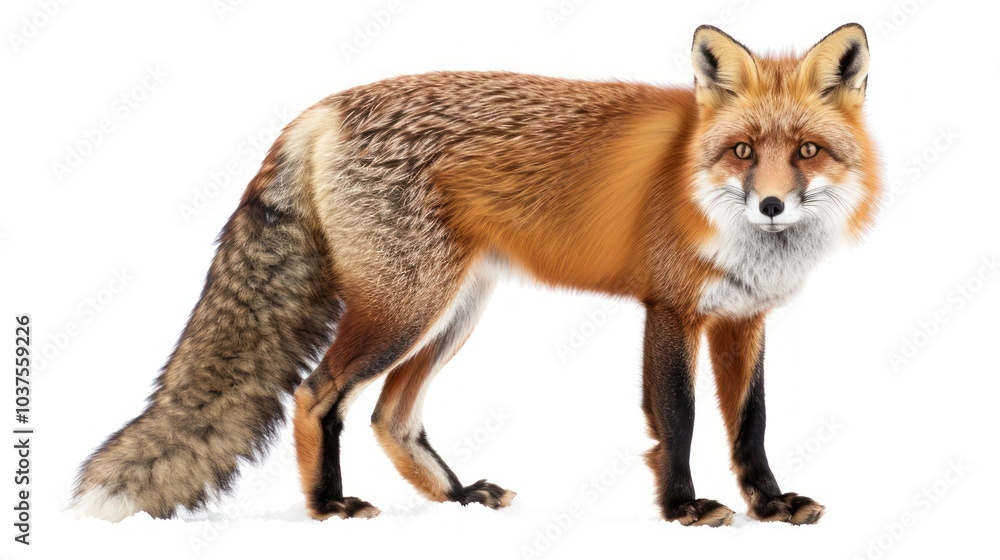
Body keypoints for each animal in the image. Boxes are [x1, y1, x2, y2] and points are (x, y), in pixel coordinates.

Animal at [72, 23, 880, 527]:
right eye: (743, 151)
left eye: (807, 151)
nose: (772, 205)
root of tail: (320, 110)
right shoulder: (671, 310)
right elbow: (677, 421)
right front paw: (683, 509)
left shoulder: (744, 318)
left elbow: (751, 425)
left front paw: (769, 507)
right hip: (405, 309)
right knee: (315, 395)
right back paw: (328, 507)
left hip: (453, 312)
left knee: (389, 416)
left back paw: (457, 496)